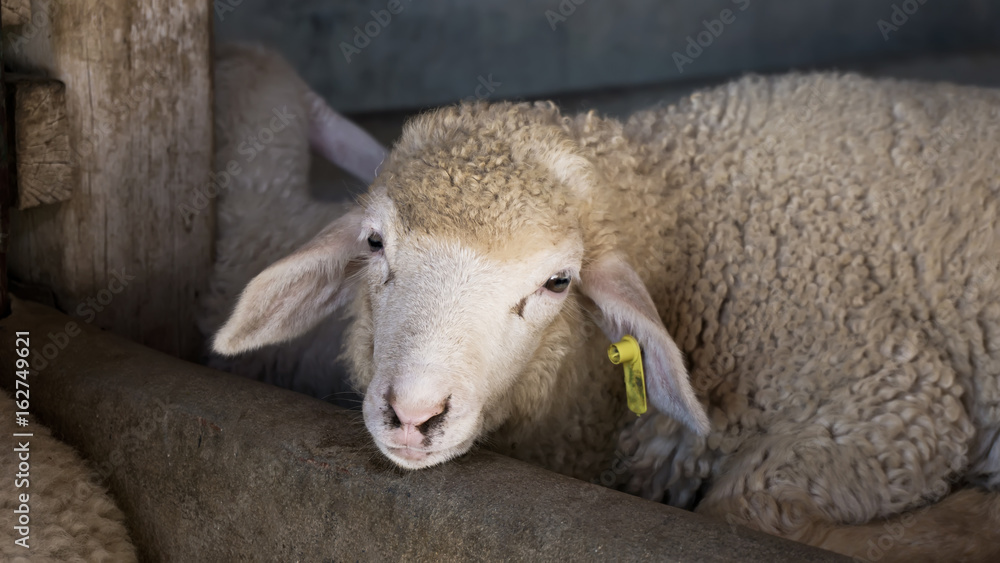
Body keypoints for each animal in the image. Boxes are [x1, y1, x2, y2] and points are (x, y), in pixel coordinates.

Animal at [212, 72, 1000, 561]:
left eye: (558, 282)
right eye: (376, 244)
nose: (413, 412)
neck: (677, 213)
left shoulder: (893, 397)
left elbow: (739, 506)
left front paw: (967, 524)